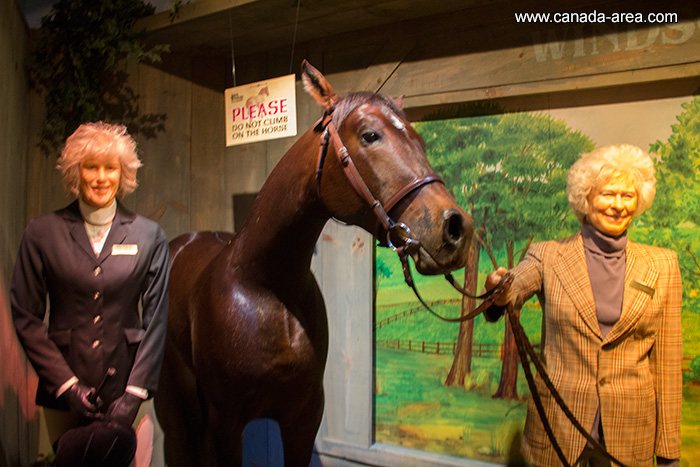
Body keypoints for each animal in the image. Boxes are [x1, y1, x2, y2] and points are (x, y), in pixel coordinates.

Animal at [156, 62, 474, 467]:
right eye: (370, 135)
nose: (457, 228)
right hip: (185, 391)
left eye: (420, 140)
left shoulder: (304, 417)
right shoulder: (226, 422)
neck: (268, 287)